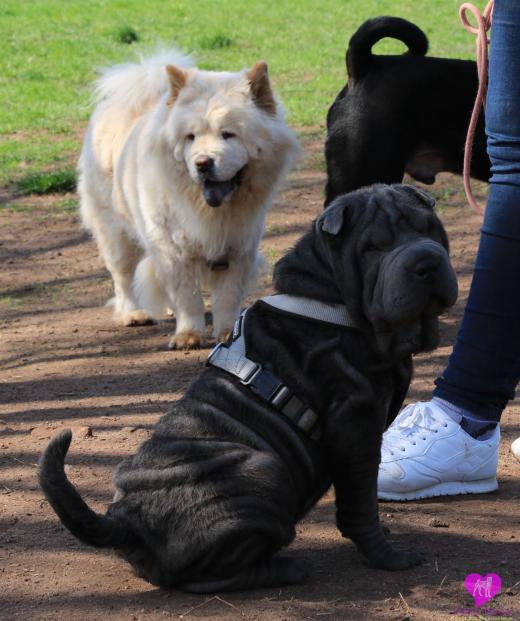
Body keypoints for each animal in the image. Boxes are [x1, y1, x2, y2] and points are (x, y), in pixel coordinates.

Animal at [39, 184, 458, 591]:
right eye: (375, 247)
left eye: (429, 229)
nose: (426, 261)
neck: (328, 297)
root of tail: (125, 522)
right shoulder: (356, 425)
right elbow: (361, 503)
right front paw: (390, 557)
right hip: (265, 469)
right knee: (208, 576)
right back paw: (287, 569)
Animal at [78, 49, 299, 349]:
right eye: (190, 137)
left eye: (228, 134)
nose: (203, 162)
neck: (211, 211)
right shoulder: (173, 252)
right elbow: (187, 297)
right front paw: (188, 335)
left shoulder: (239, 248)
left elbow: (227, 298)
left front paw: (227, 333)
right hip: (115, 232)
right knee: (123, 276)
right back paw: (133, 314)